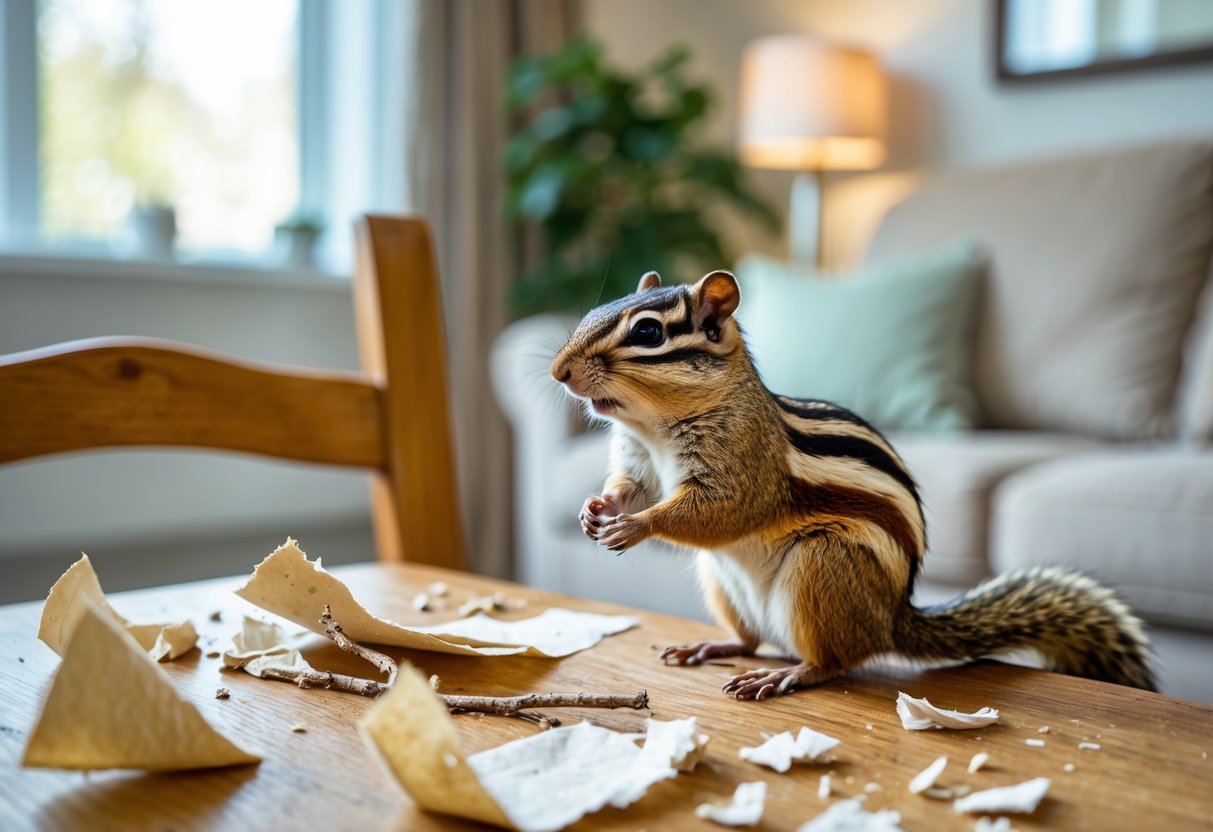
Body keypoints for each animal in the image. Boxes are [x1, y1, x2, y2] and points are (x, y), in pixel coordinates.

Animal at [550, 269, 1156, 699]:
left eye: (648, 332)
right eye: (594, 311)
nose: (559, 371)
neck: (652, 428)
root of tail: (891, 623)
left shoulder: (745, 465)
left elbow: (720, 510)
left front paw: (634, 527)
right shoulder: (637, 461)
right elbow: (630, 486)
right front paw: (596, 508)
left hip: (822, 567)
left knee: (835, 662)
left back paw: (786, 676)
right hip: (721, 580)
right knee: (751, 640)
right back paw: (711, 645)